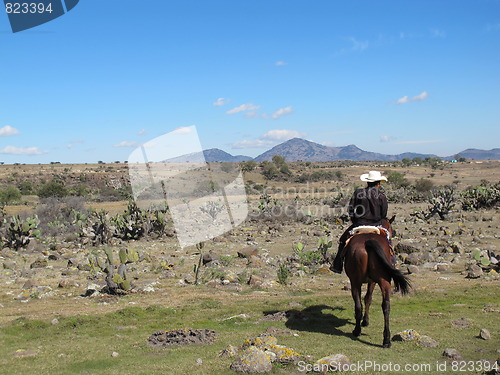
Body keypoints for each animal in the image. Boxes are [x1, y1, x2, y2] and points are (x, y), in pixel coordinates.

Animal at [344, 217, 410, 350]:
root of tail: (368, 242)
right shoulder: (373, 281)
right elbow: (368, 298)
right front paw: (366, 321)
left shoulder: (370, 281)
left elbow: (366, 299)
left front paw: (365, 321)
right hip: (384, 281)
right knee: (386, 306)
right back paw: (386, 340)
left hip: (355, 282)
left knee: (358, 306)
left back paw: (357, 331)